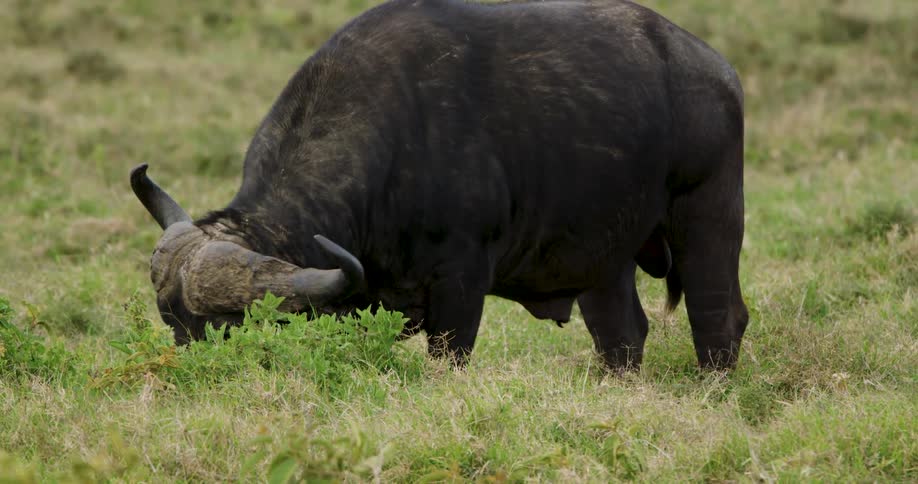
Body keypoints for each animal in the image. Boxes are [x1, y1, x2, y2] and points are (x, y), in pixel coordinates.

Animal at [131, 0, 749, 371]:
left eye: (225, 328)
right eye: (173, 324)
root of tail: (718, 71)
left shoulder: (461, 284)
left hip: (710, 217)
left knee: (719, 318)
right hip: (603, 258)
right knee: (623, 335)